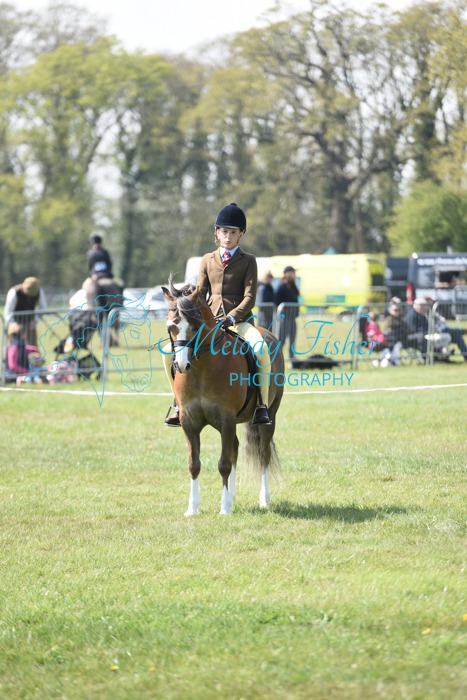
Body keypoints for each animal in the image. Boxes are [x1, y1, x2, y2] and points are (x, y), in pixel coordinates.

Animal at [161, 278, 284, 516]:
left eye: (195, 326)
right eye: (171, 327)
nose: (181, 365)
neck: (201, 370)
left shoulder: (226, 419)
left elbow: (224, 464)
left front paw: (224, 508)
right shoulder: (189, 421)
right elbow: (194, 464)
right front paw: (192, 508)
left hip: (270, 415)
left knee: (263, 453)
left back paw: (263, 499)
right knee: (235, 447)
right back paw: (233, 496)